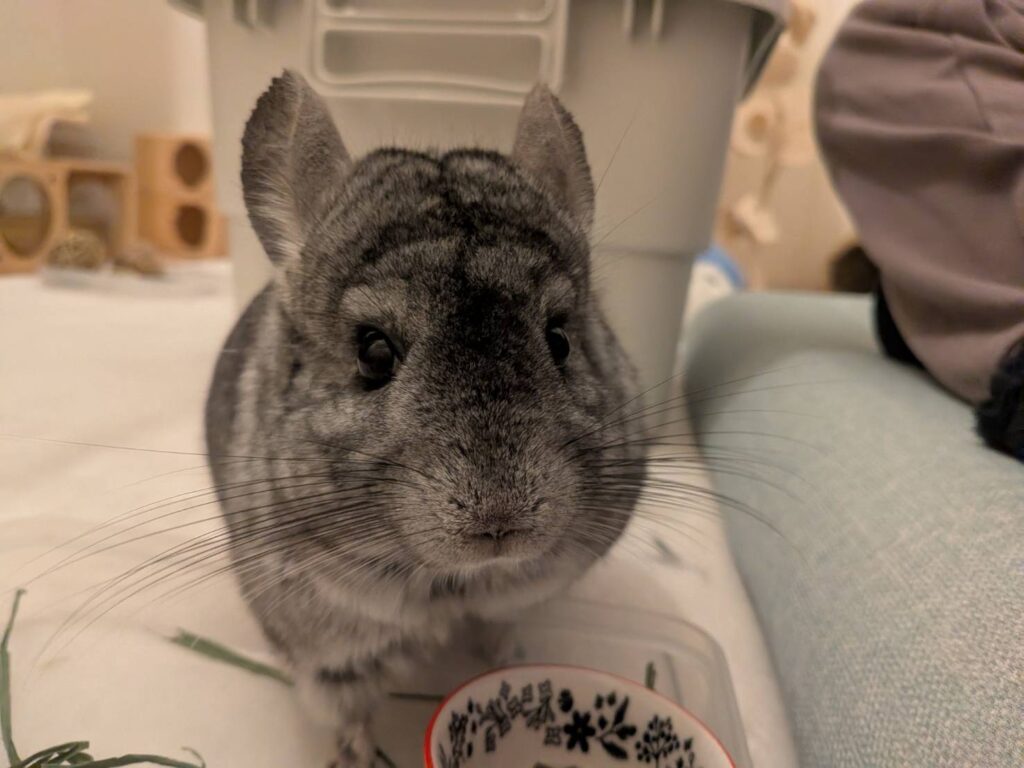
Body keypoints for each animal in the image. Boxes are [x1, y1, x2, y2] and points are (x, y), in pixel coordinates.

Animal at [205, 70, 647, 766]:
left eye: (559, 340)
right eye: (374, 352)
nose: (501, 522)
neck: (451, 583)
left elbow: (502, 632)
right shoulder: (325, 652)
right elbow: (349, 713)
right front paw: (355, 757)